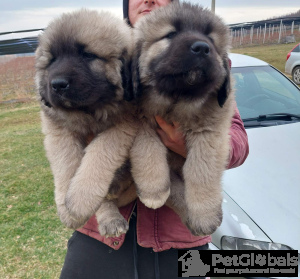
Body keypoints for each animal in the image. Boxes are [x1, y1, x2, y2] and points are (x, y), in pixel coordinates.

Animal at [35, 8, 138, 237]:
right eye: (52, 60)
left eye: (88, 55)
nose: (57, 84)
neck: (89, 111)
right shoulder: (58, 130)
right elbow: (66, 163)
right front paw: (68, 209)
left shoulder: (123, 124)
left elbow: (99, 155)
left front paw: (79, 200)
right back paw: (110, 218)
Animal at [131, 2, 234, 237]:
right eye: (171, 34)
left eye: (211, 39)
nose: (202, 48)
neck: (176, 103)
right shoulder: (140, 123)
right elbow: (148, 151)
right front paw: (153, 192)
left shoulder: (210, 133)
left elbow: (200, 170)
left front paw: (205, 215)